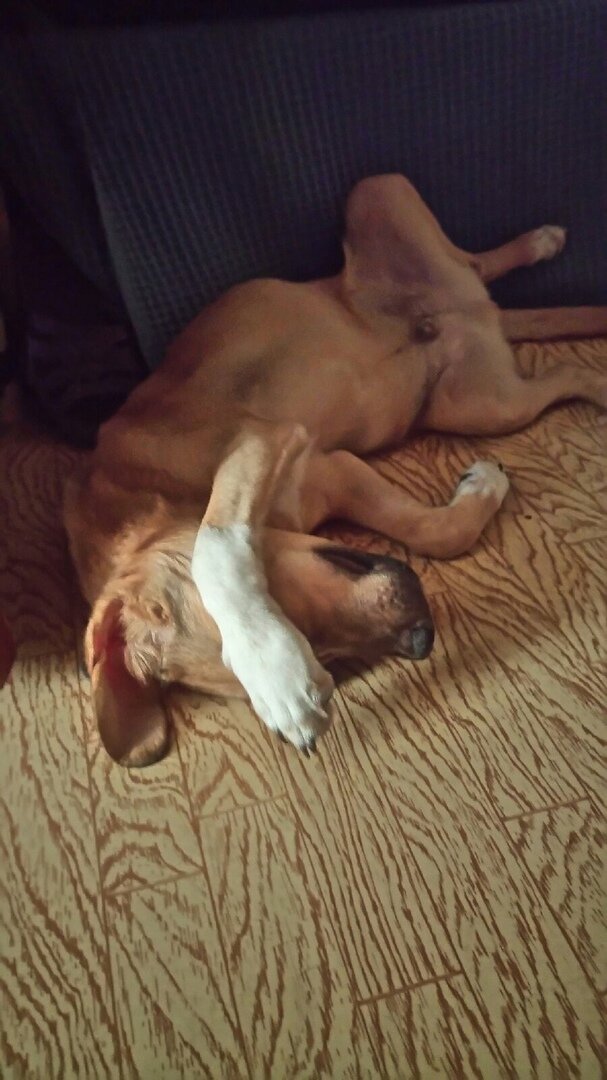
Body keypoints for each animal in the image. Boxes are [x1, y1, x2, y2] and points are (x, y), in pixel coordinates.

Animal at [63, 174, 607, 767]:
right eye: (330, 660)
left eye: (278, 607)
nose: (422, 640)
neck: (146, 503)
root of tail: (477, 312)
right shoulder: (338, 472)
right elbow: (434, 530)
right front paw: (482, 486)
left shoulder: (261, 441)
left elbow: (216, 546)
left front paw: (271, 667)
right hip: (485, 406)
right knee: (565, 370)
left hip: (375, 193)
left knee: (471, 261)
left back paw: (540, 243)